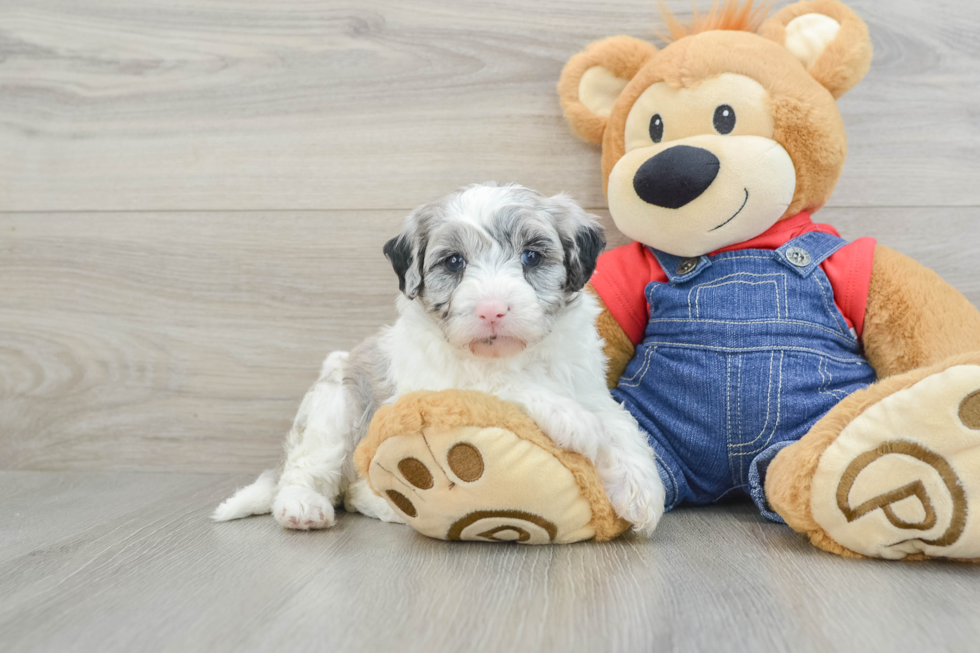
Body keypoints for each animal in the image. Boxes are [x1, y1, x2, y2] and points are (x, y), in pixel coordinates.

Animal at [214, 181, 668, 532]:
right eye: (454, 262)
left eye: (532, 257)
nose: (491, 310)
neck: (512, 355)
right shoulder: (438, 384)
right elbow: (500, 385)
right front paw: (575, 421)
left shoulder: (588, 385)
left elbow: (620, 425)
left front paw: (642, 491)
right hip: (336, 406)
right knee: (311, 469)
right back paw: (302, 506)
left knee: (355, 491)